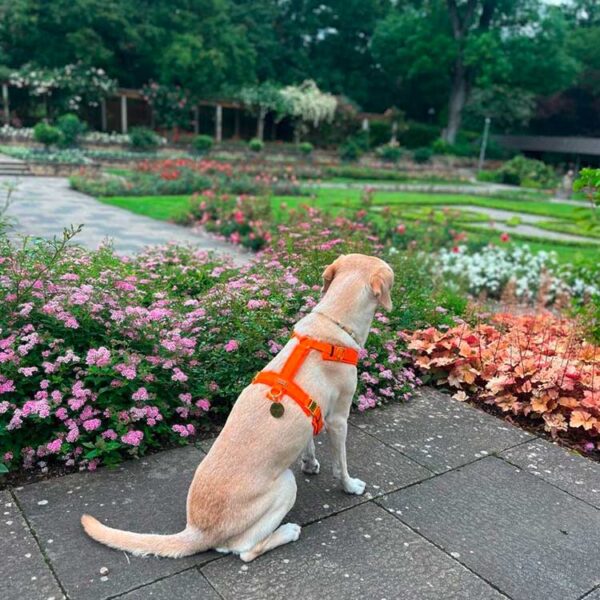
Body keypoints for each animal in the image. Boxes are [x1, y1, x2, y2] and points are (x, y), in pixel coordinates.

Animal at [83, 253, 394, 564]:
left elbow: (309, 440)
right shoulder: (339, 419)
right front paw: (350, 486)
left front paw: (310, 463)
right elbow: (340, 465)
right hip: (285, 485)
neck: (331, 324)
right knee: (244, 550)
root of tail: (197, 530)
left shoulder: (314, 413)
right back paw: (287, 531)